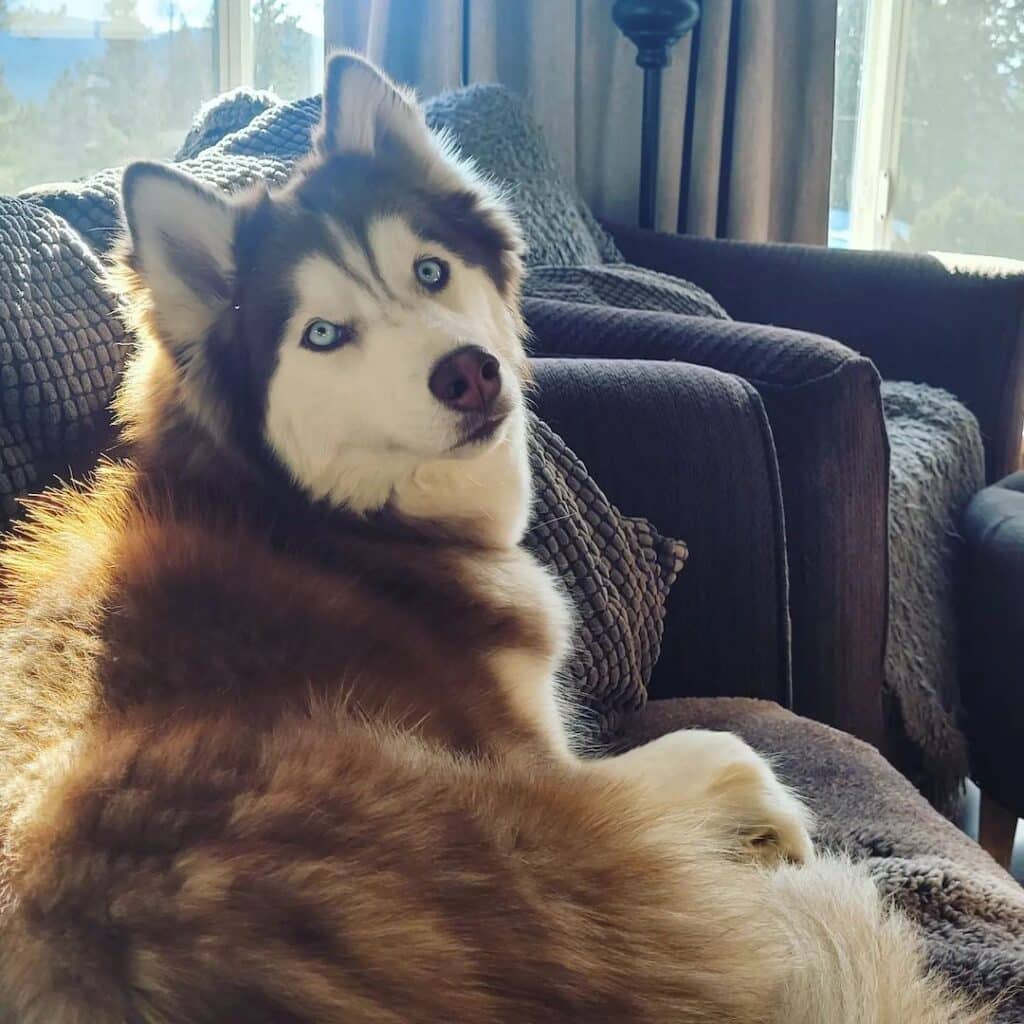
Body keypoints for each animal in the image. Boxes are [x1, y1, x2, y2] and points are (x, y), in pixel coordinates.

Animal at [0, 54, 983, 1024]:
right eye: (323, 334)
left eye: (430, 272)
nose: (468, 373)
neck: (329, 522)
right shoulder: (556, 772)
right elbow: (727, 749)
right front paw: (780, 825)